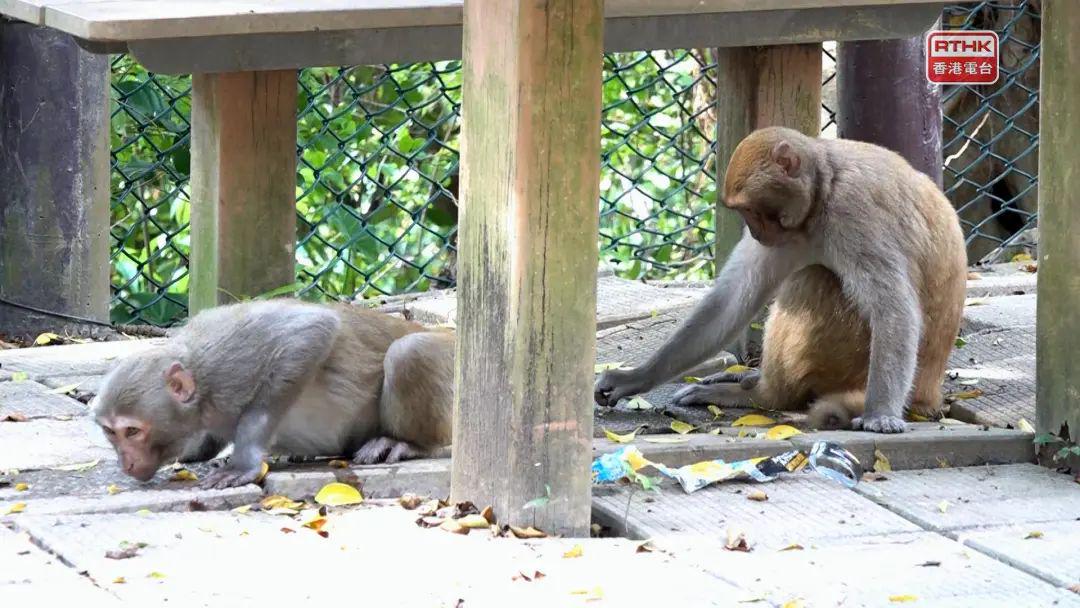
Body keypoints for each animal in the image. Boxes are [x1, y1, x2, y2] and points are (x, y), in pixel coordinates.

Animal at [91, 300, 455, 490]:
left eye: (132, 431)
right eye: (110, 432)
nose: (126, 462)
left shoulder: (231, 362)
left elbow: (311, 331)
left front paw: (244, 461)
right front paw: (197, 451)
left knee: (408, 352)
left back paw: (406, 443)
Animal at [596, 126, 967, 431]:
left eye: (750, 209)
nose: (755, 232)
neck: (824, 189)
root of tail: (929, 393)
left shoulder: (855, 213)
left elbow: (893, 310)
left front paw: (881, 414)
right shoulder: (790, 236)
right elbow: (731, 301)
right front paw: (633, 379)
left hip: (847, 367)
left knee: (812, 279)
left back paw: (765, 395)